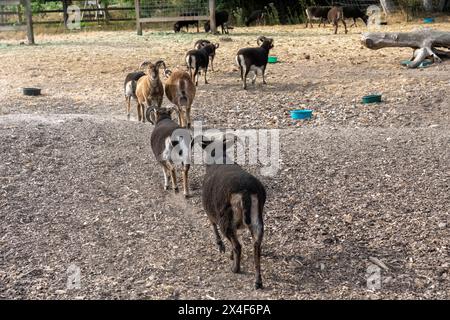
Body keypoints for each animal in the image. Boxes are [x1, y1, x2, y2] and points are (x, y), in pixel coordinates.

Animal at [198, 135, 268, 290]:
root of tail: (245, 191)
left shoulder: (211, 212)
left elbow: (213, 227)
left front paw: (221, 247)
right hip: (257, 219)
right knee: (256, 247)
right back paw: (258, 281)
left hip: (225, 219)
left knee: (238, 245)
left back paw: (235, 268)